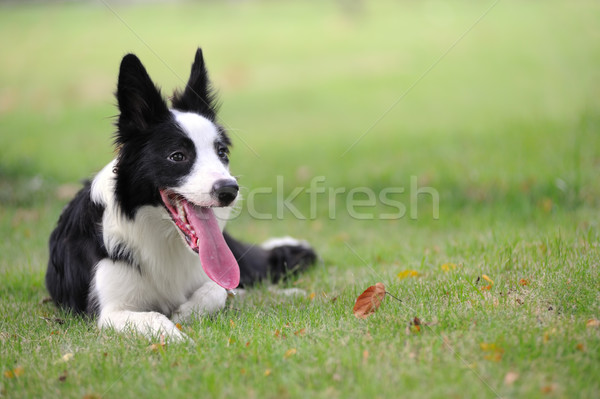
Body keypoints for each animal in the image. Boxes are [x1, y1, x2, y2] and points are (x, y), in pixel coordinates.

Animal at [46, 47, 316, 340]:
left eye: (222, 152)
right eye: (177, 156)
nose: (229, 190)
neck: (163, 238)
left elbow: (219, 290)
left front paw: (184, 313)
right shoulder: (111, 311)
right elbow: (155, 317)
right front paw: (179, 336)